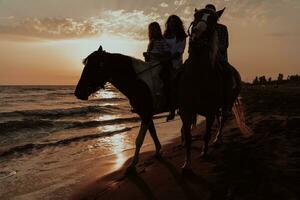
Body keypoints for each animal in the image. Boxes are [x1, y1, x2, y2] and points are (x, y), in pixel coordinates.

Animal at [179, 7, 243, 171]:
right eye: (196, 15)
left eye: (213, 20)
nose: (197, 34)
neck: (199, 77)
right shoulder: (186, 111)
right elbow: (188, 137)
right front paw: (186, 163)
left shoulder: (209, 111)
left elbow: (206, 134)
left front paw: (204, 152)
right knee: (220, 119)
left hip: (227, 104)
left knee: (223, 120)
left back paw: (217, 139)